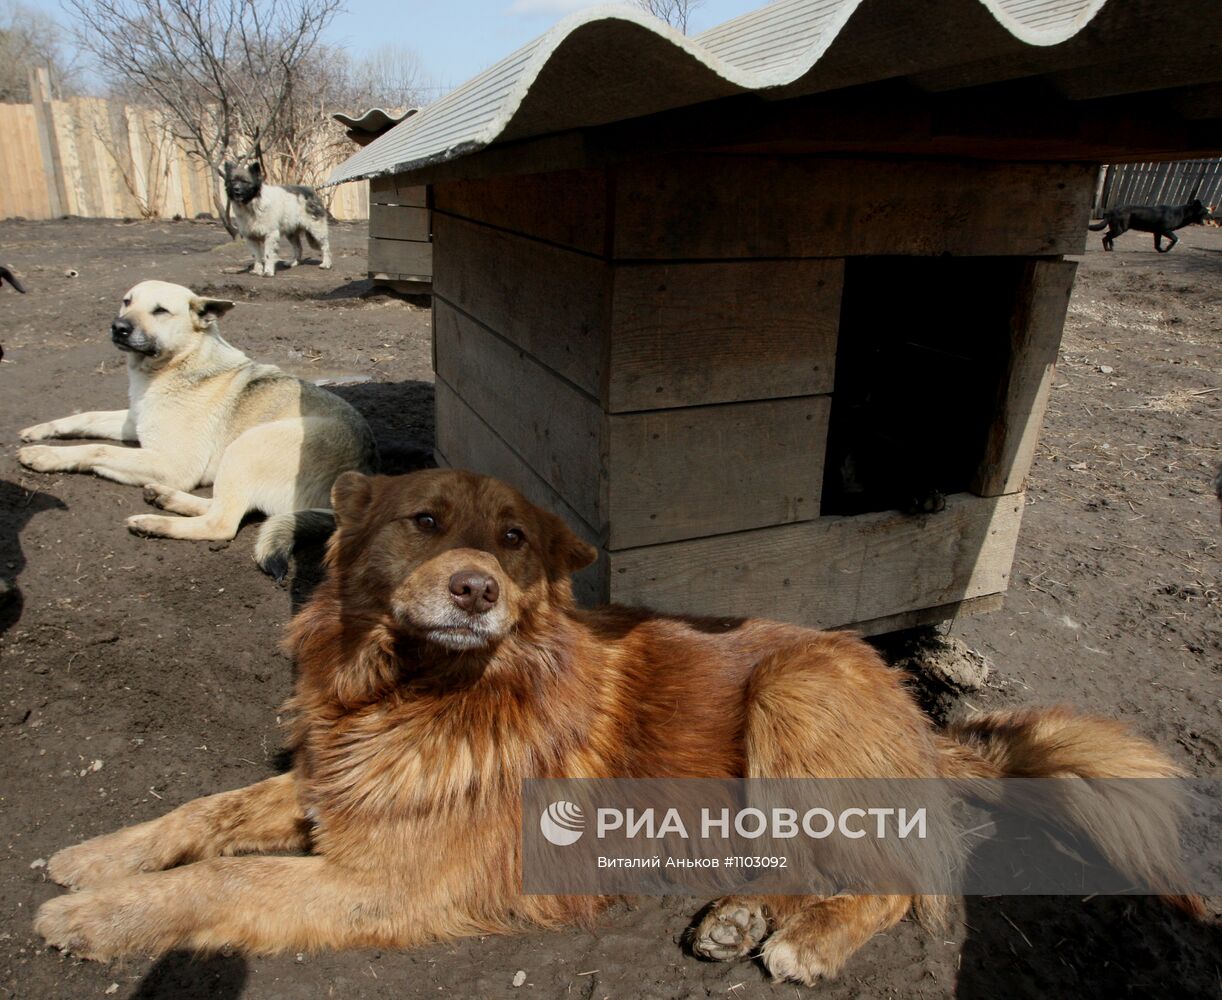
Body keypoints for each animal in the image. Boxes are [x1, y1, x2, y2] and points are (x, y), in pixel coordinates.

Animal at [16, 278, 373, 577]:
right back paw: (166, 499)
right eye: (126, 301)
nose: (118, 327)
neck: (175, 364)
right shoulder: (135, 423)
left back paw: (155, 523)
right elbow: (86, 417)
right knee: (224, 506)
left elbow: (97, 448)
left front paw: (44, 456)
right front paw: (40, 432)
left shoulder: (174, 465)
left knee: (222, 523)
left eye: (160, 311)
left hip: (244, 446)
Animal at [38, 469, 1202, 982]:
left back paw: (803, 941)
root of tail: (916, 709)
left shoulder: (390, 881)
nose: (475, 589)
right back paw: (740, 918)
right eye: (424, 521)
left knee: (896, 879)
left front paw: (99, 916)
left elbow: (221, 880)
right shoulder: (338, 787)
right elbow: (210, 810)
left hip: (794, 695)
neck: (420, 693)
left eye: (513, 538)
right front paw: (99, 856)